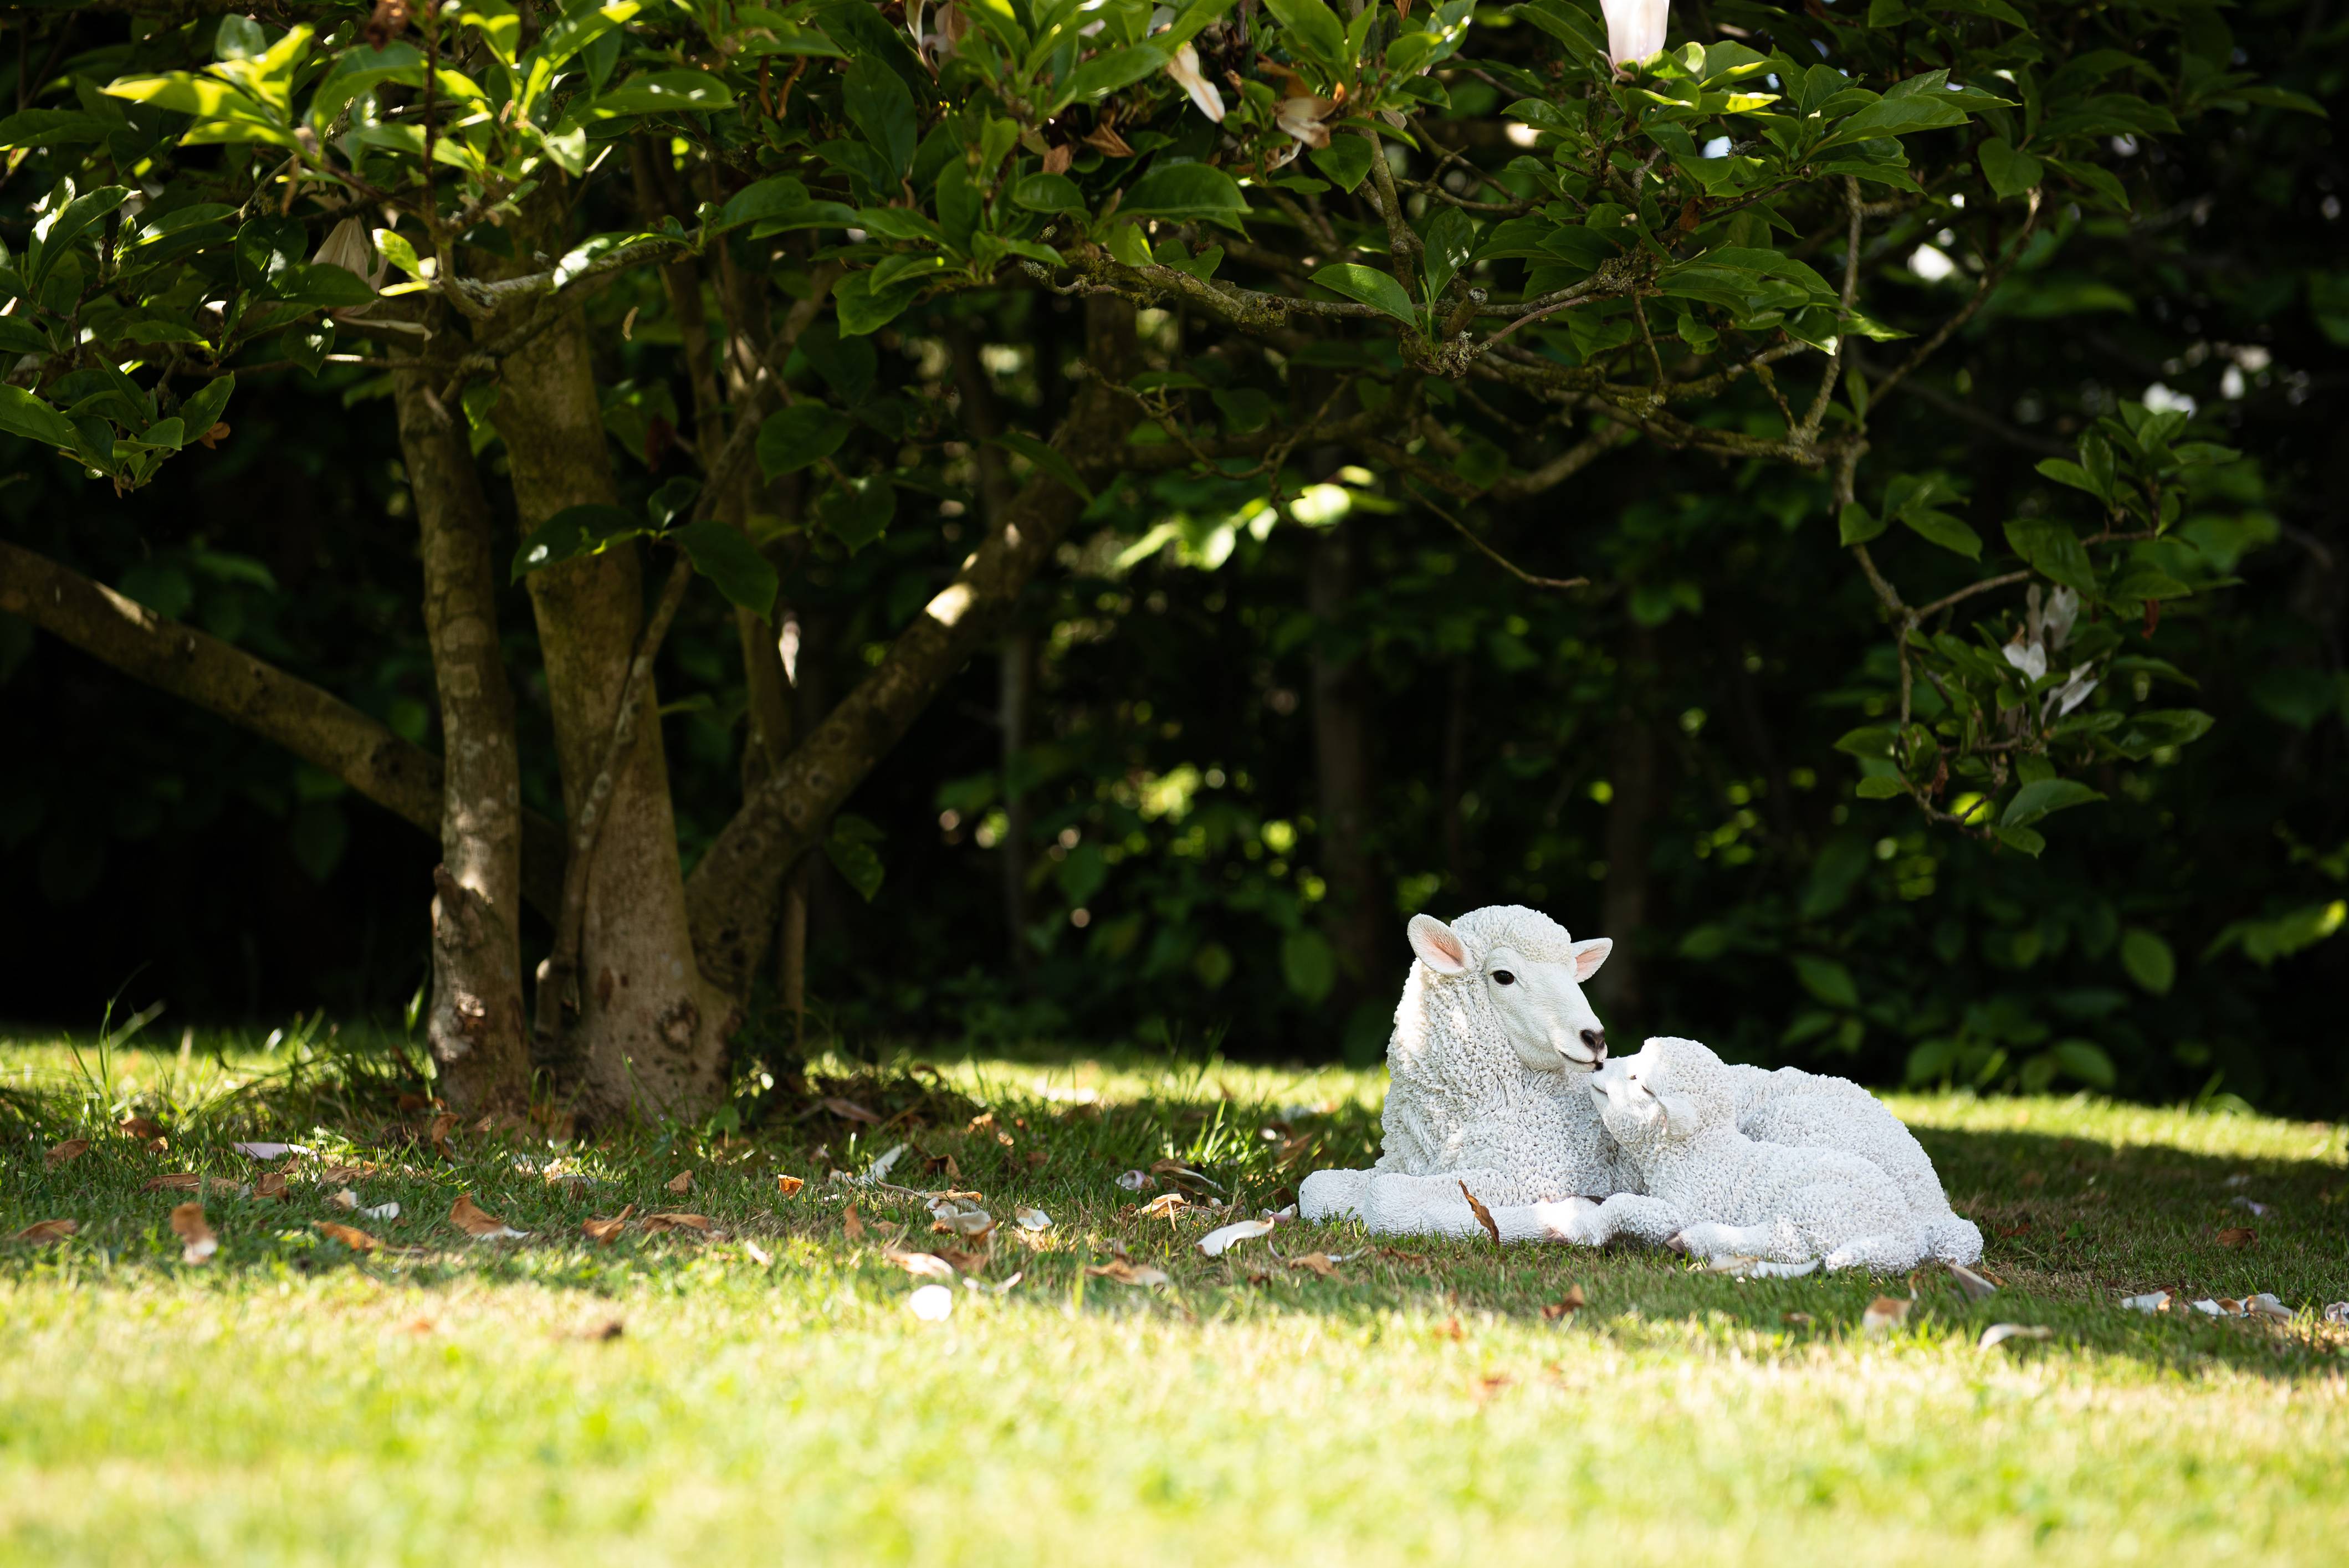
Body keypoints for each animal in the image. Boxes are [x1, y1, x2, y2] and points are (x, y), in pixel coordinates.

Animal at [1296, 906, 1684, 1246]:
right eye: (1503, 976)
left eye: (1573, 974)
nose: (1595, 1038)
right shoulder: (1406, 1165)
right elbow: (1313, 1188)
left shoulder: (1534, 1171)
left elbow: (1383, 1197)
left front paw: (1562, 1219)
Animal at [1587, 1037, 1931, 1273]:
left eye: (1637, 1080)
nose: (1600, 1064)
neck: (1699, 1152)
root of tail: (1906, 1239)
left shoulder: (1686, 1207)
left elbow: (1626, 1205)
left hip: (1819, 1205)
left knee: (1785, 1244)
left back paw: (1697, 1240)